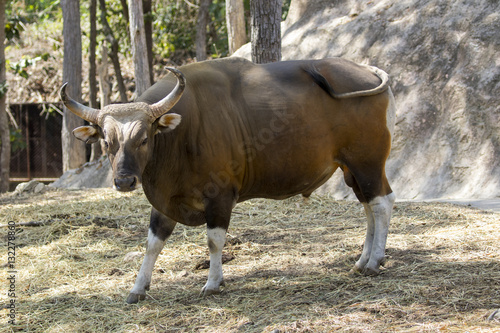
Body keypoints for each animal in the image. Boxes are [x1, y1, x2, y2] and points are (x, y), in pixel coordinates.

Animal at [59, 57, 394, 304]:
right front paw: (138, 287)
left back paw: (375, 260)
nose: (124, 181)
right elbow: (152, 243)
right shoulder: (166, 200)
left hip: (367, 162)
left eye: (143, 139)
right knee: (369, 206)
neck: (178, 138)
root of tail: (368, 70)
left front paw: (213, 282)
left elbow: (213, 240)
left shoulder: (220, 196)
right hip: (352, 169)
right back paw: (362, 260)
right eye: (107, 141)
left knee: (381, 204)